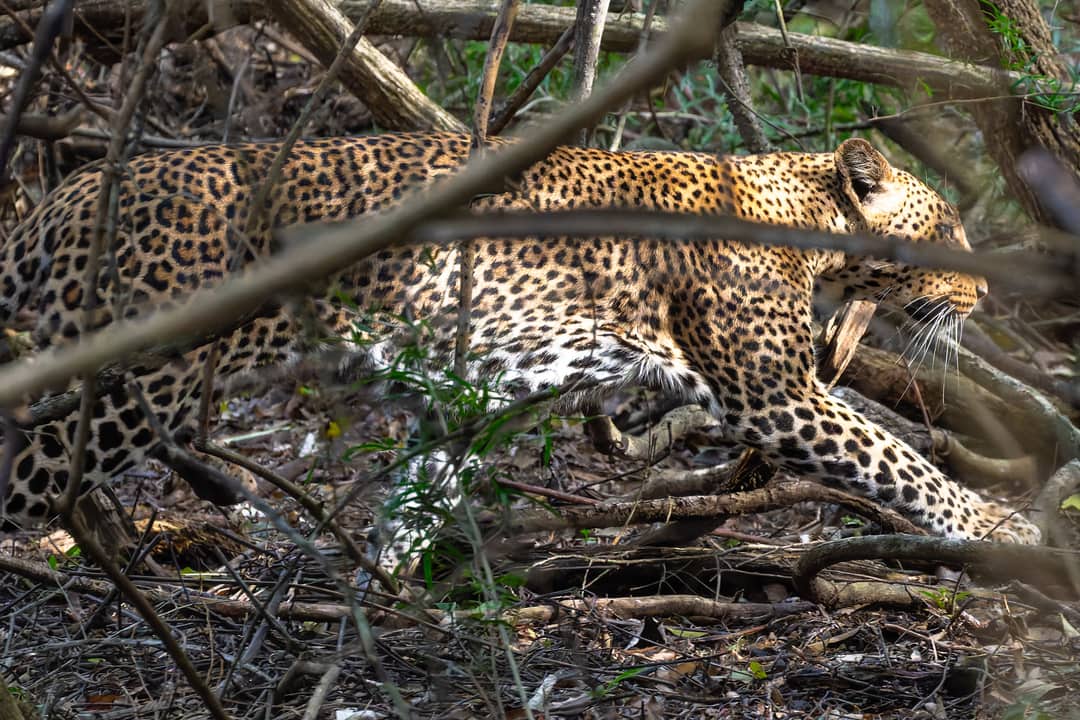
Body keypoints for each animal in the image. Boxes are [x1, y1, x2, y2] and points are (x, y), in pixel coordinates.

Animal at [0, 132, 1040, 548]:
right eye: (948, 229)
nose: (989, 292)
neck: (804, 219)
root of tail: (67, 192)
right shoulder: (776, 395)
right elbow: (904, 464)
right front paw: (1002, 529)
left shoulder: (475, 405)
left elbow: (417, 503)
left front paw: (388, 607)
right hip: (133, 385)